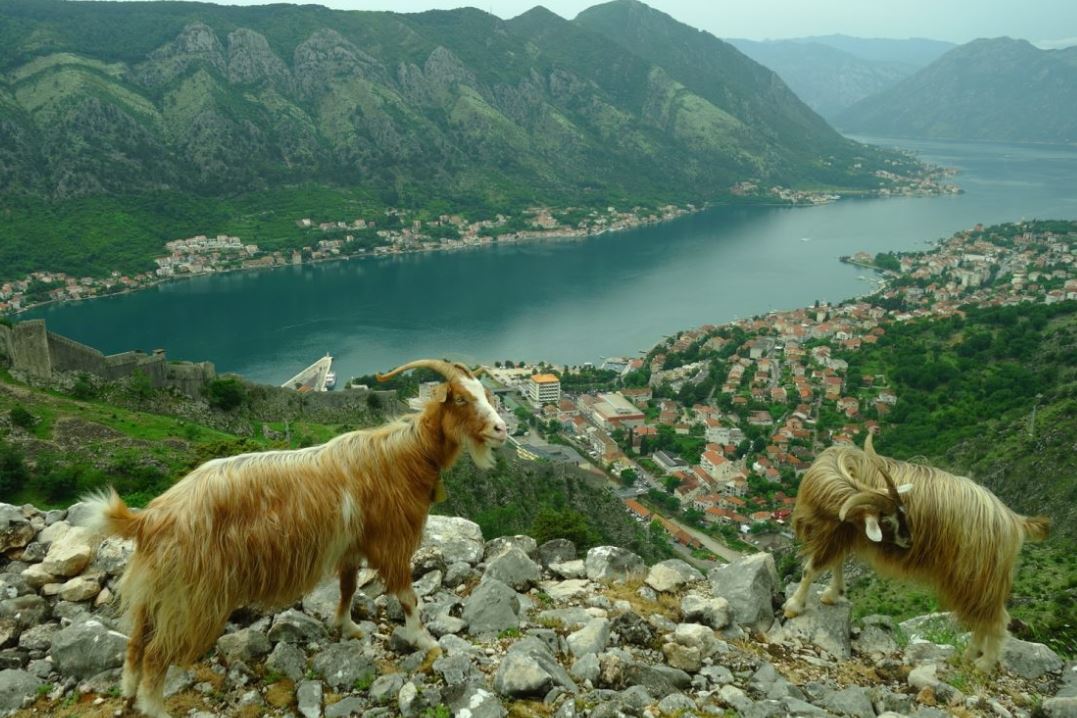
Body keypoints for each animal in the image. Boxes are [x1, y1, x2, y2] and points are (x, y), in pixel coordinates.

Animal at [86, 359, 506, 718]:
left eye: (487, 393)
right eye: (462, 399)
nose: (502, 429)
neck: (403, 454)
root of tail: (149, 518)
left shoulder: (350, 544)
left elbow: (348, 587)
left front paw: (346, 627)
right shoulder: (391, 539)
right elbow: (407, 596)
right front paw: (425, 640)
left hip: (157, 588)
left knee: (136, 640)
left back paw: (128, 690)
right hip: (192, 596)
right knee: (156, 653)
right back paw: (154, 706)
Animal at [788, 432, 1046, 676]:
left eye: (902, 515)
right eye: (888, 521)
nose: (910, 541)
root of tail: (1013, 520)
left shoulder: (832, 535)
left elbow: (811, 568)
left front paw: (794, 606)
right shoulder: (839, 534)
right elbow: (835, 563)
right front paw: (833, 594)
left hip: (978, 576)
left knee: (996, 619)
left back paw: (984, 664)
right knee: (981, 617)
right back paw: (967, 656)